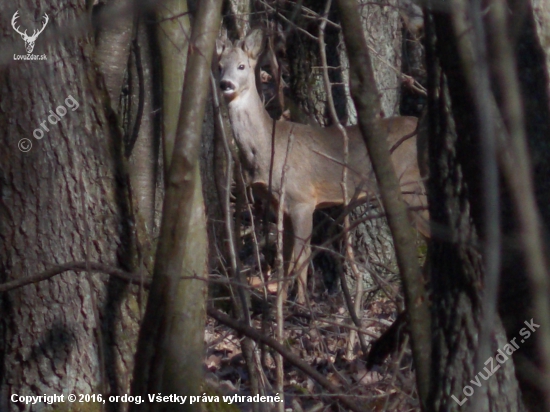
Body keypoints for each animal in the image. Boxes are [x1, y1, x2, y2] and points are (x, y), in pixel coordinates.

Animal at [217, 29, 432, 304]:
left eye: (242, 66)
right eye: (219, 66)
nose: (225, 84)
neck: (266, 148)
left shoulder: (302, 199)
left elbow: (300, 259)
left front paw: (301, 305)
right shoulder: (281, 205)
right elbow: (287, 260)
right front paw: (282, 302)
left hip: (411, 186)